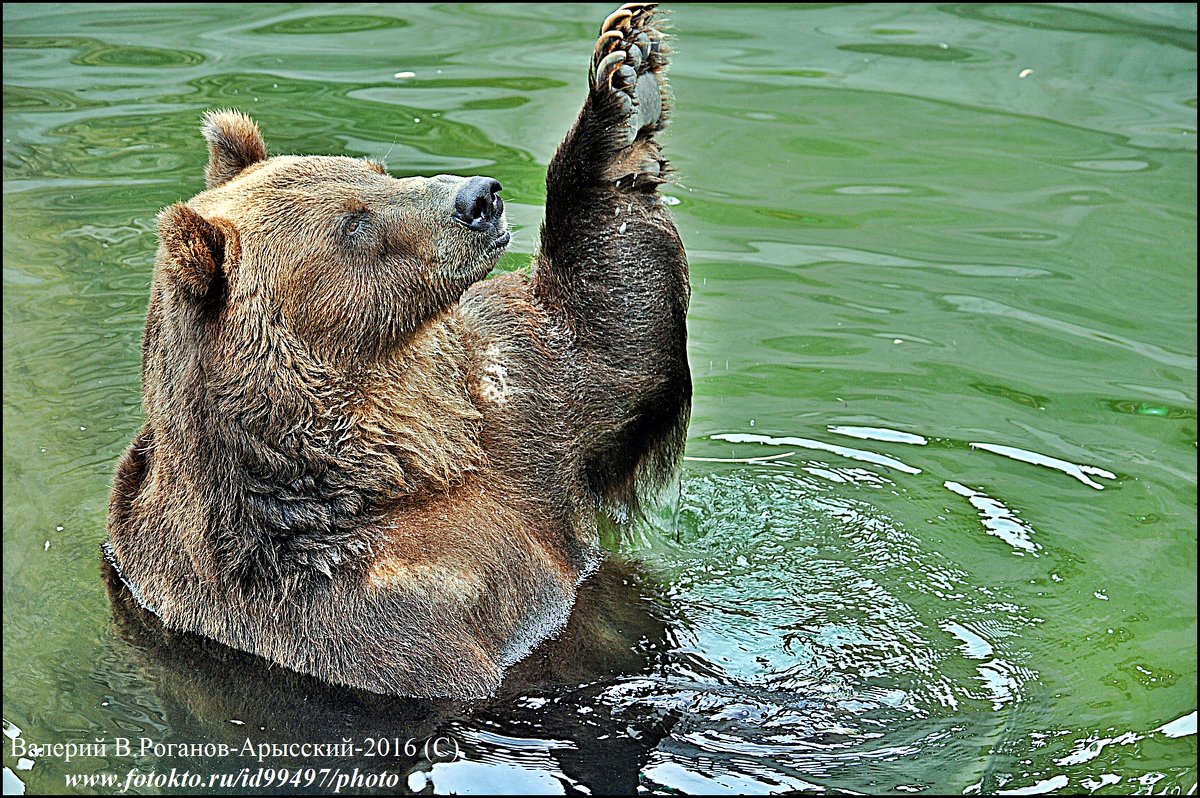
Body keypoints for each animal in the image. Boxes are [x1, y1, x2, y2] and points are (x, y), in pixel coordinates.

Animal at [108, 1, 691, 696]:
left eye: (378, 172)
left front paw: (625, 78)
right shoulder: (347, 612)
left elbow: (608, 342)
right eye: (354, 222)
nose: (479, 197)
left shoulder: (512, 419)